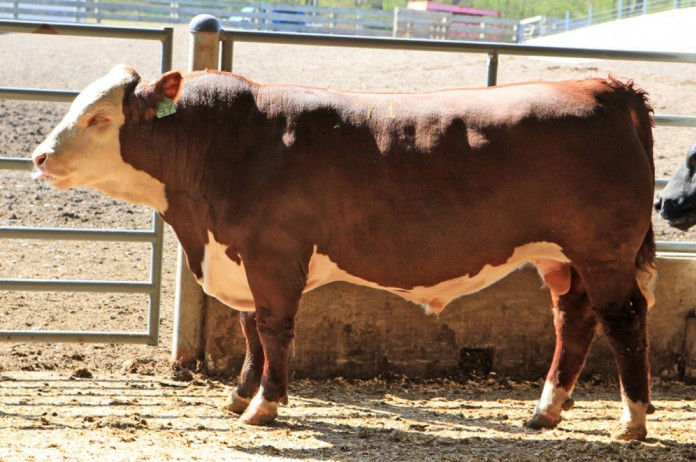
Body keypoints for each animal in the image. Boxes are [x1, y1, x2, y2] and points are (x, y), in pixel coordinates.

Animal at [32, 65, 657, 440]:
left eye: (100, 117)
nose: (38, 157)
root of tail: (603, 86)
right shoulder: (240, 260)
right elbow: (250, 329)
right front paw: (239, 395)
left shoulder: (273, 255)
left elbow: (274, 328)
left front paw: (265, 404)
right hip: (562, 257)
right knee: (573, 319)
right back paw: (546, 410)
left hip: (603, 250)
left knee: (624, 319)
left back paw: (631, 419)